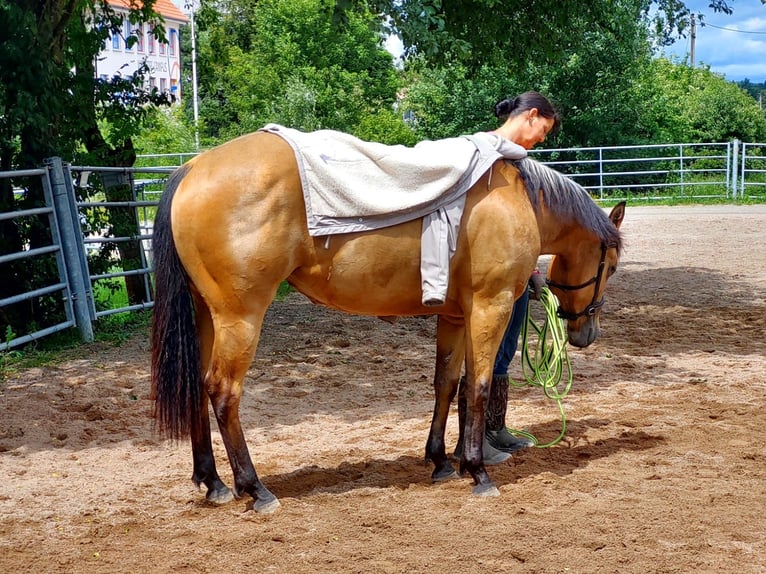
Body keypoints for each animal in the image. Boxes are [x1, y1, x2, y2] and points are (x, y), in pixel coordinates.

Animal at [150, 129, 625, 514]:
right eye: (614, 266)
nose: (587, 334)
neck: (515, 198)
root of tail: (192, 168)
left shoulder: (456, 315)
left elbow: (447, 383)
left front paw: (441, 461)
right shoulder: (491, 308)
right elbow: (479, 386)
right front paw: (477, 471)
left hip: (208, 317)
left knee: (197, 386)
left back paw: (214, 482)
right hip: (240, 319)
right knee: (223, 392)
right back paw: (255, 489)